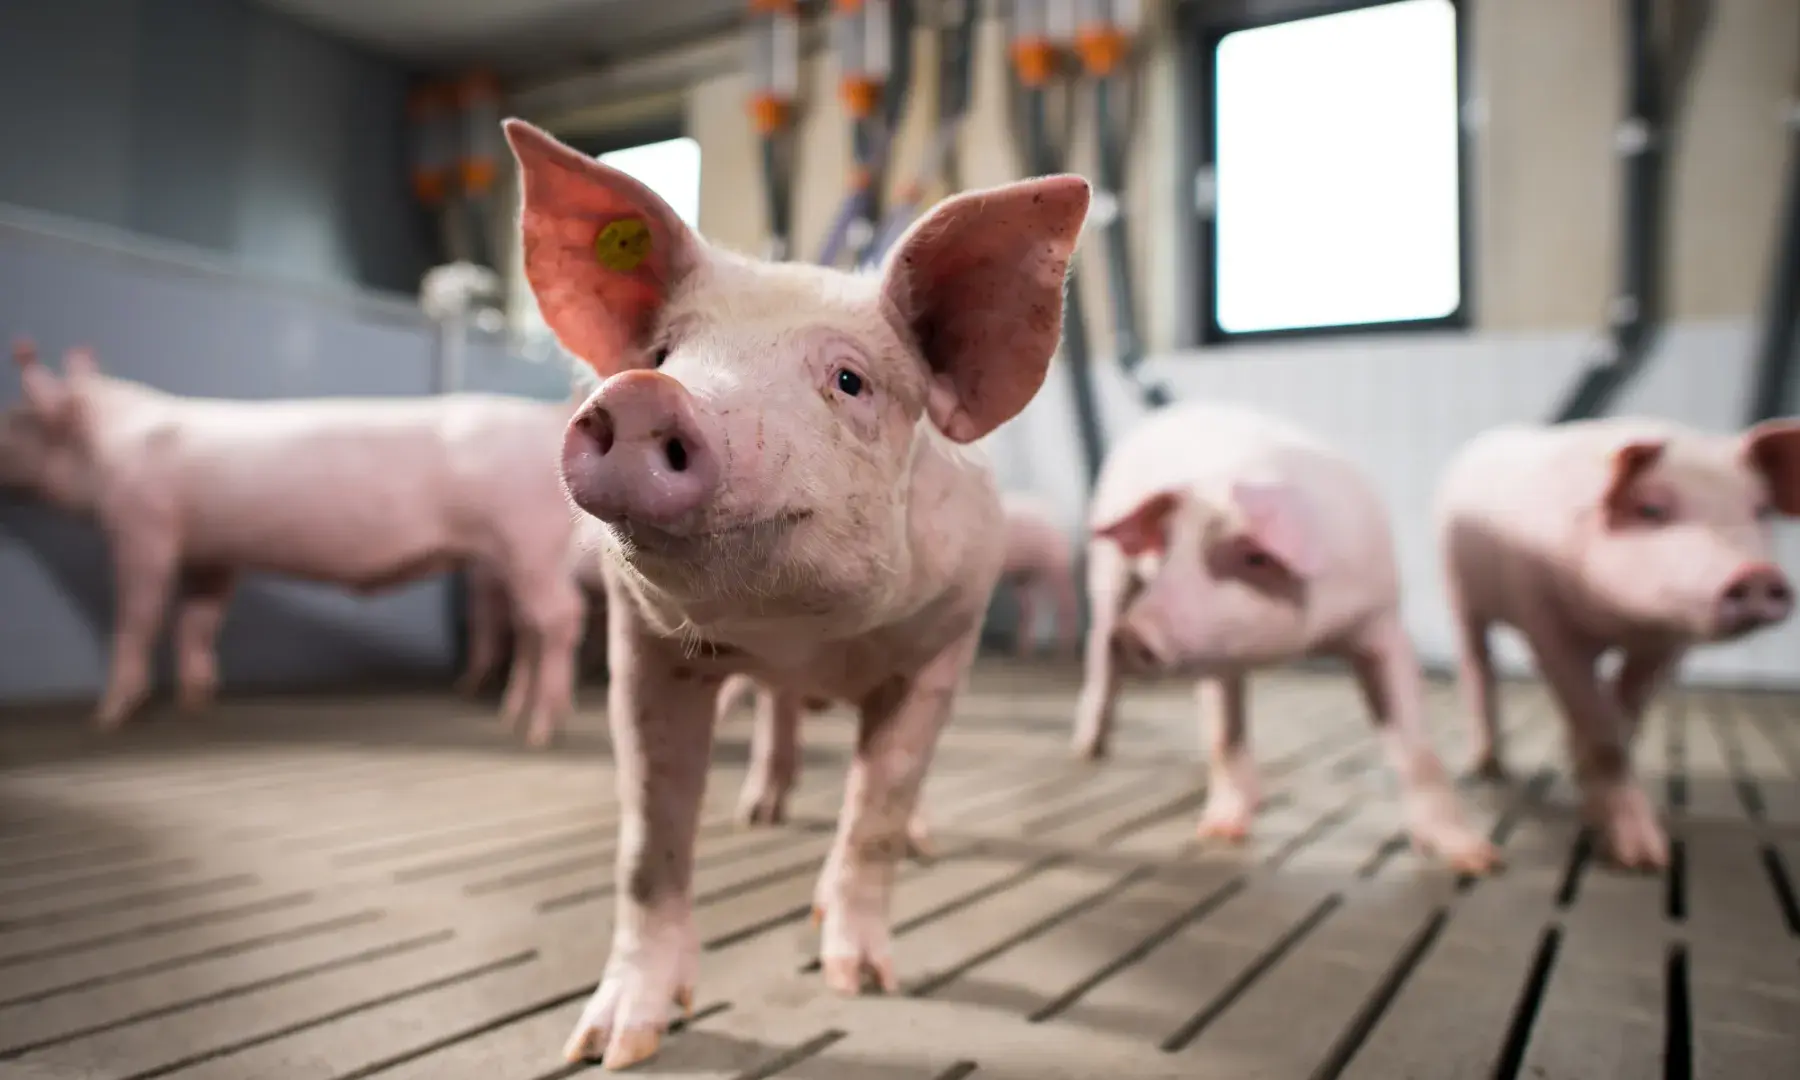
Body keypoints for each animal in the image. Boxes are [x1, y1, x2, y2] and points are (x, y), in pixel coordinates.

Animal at [0, 340, 586, 745]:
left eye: (19, 419)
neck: (109, 442)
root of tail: (550, 416)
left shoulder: (142, 524)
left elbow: (138, 615)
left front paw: (105, 718)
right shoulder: (214, 554)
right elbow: (198, 620)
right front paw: (196, 703)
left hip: (524, 537)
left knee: (562, 617)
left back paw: (541, 733)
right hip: (516, 555)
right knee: (529, 626)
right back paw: (514, 719)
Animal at [1001, 491, 1080, 658]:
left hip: (1058, 564)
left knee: (1068, 601)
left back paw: (1063, 653)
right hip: (1025, 575)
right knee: (1028, 606)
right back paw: (1021, 653)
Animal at [1071, 401, 1499, 874]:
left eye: (1254, 557)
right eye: (1165, 551)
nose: (1132, 633)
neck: (1302, 644)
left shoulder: (1381, 621)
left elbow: (1418, 751)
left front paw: (1478, 861)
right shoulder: (1215, 659)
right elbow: (1223, 737)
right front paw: (1219, 834)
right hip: (1107, 573)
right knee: (1098, 654)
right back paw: (1086, 750)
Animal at [1436, 416, 1800, 870]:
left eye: (1761, 509)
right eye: (1650, 509)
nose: (1756, 574)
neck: (1620, 623)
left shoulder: (1666, 642)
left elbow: (1624, 720)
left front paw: (1630, 840)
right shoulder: (1544, 620)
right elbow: (1601, 730)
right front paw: (1639, 860)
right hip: (1457, 589)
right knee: (1477, 665)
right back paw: (1486, 768)